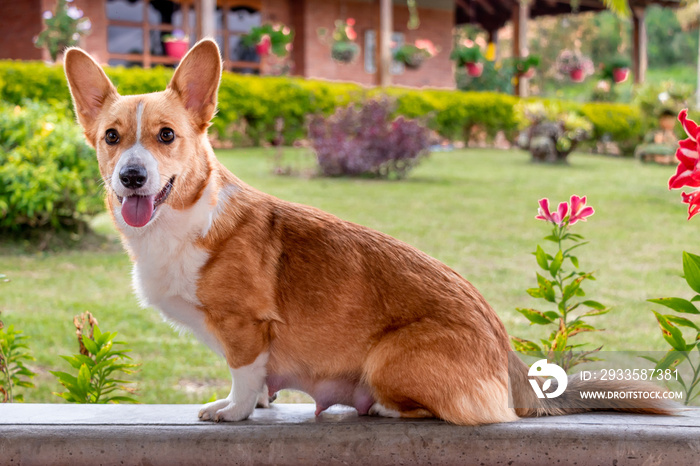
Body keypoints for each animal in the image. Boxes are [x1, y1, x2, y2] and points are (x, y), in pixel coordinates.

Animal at [64, 41, 672, 426]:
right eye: (112, 137)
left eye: (166, 135)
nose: (131, 176)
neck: (183, 219)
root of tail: (513, 367)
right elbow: (257, 383)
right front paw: (255, 405)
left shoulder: (245, 328)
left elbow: (244, 374)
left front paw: (232, 411)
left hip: (385, 359)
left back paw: (380, 406)